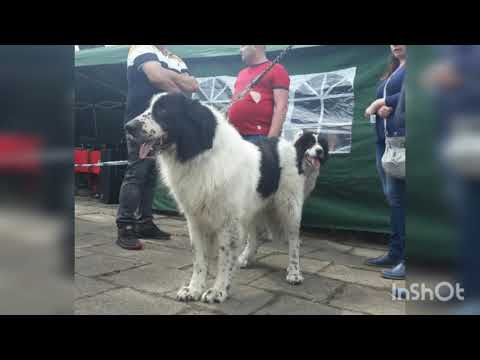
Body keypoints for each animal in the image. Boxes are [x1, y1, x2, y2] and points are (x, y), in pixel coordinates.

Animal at [124, 93, 328, 304]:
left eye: (163, 110)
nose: (128, 127)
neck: (200, 156)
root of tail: (286, 143)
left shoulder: (228, 223)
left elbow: (223, 258)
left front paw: (218, 290)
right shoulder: (196, 220)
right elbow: (199, 259)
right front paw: (193, 289)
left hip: (288, 208)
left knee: (294, 241)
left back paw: (294, 272)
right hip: (252, 209)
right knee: (255, 235)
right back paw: (245, 258)